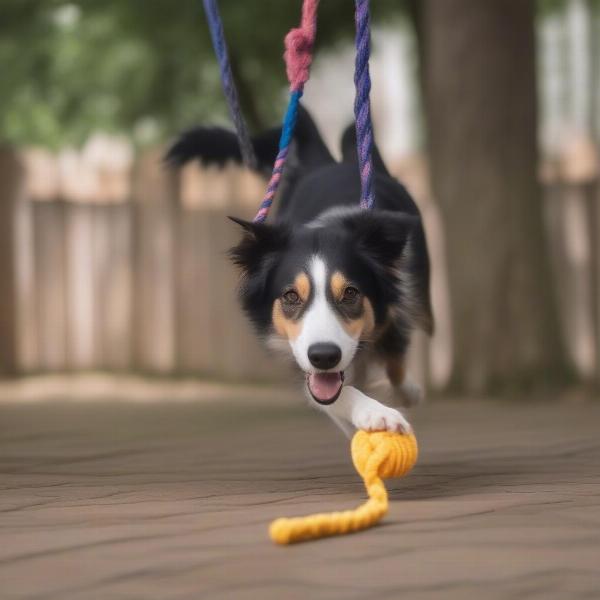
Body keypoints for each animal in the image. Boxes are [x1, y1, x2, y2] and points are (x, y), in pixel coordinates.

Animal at [166, 106, 434, 436]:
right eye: (290, 296)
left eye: (351, 293)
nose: (324, 356)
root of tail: (329, 163)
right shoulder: (300, 352)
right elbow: (331, 391)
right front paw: (374, 414)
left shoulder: (395, 306)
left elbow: (394, 359)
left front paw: (404, 394)